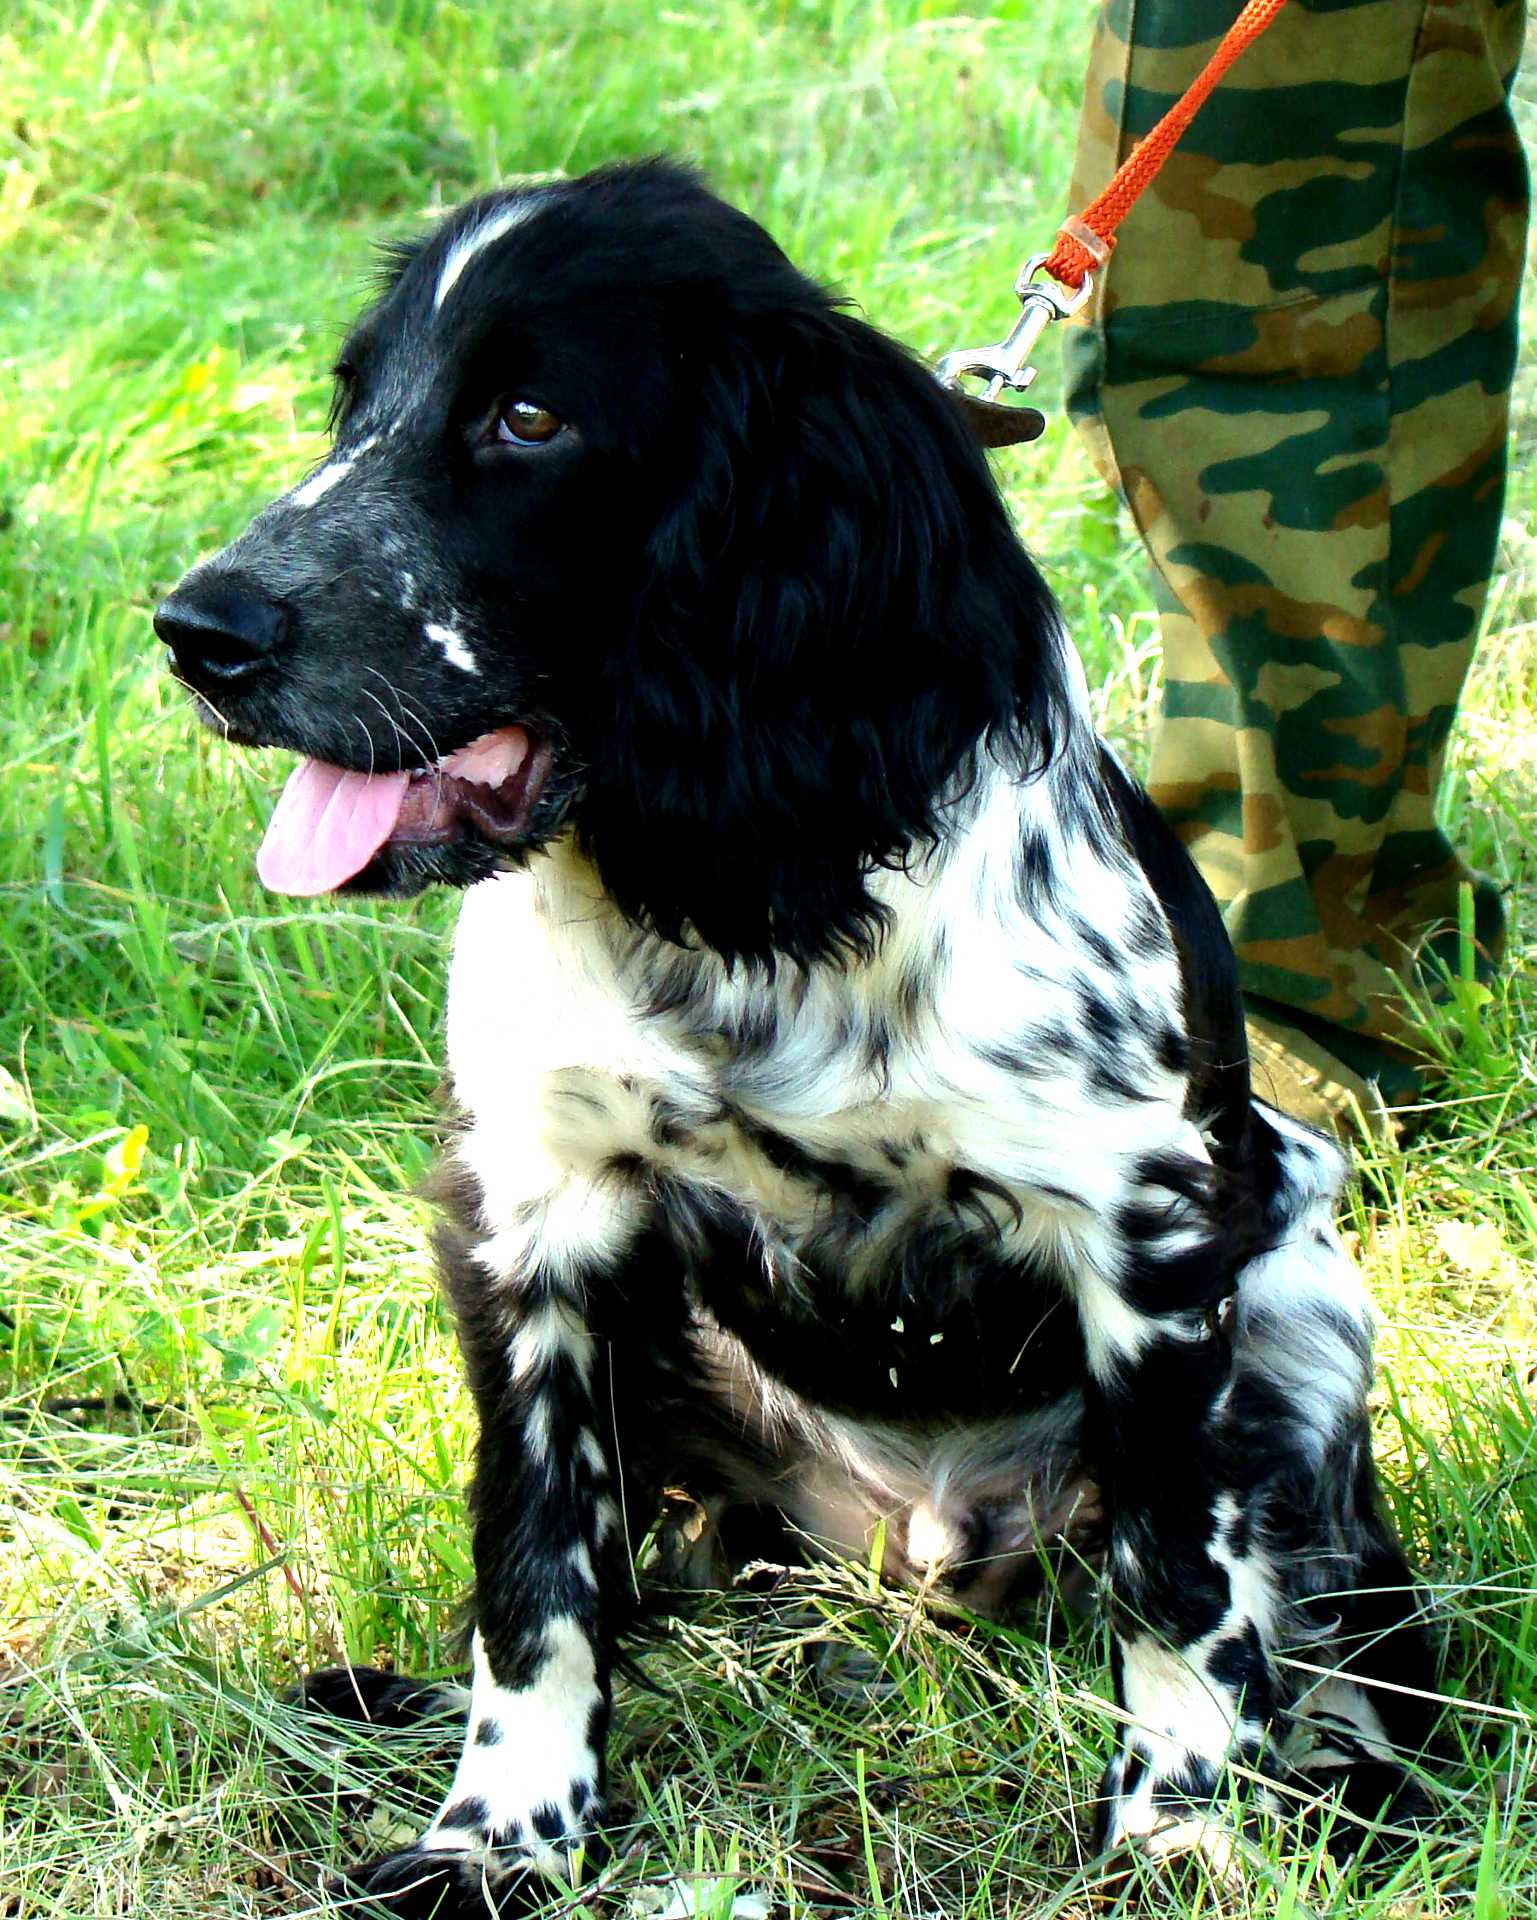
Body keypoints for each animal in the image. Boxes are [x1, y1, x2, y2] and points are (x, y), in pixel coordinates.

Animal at [149, 161, 1435, 1904]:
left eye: (529, 419)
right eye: (356, 401)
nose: (196, 629)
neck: (728, 901)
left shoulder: (1152, 1229)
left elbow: (1182, 1581)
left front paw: (1178, 1831)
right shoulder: (532, 1224)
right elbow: (536, 1578)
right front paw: (499, 1839)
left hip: (1300, 1307)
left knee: (1354, 1611)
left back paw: (1352, 1771)